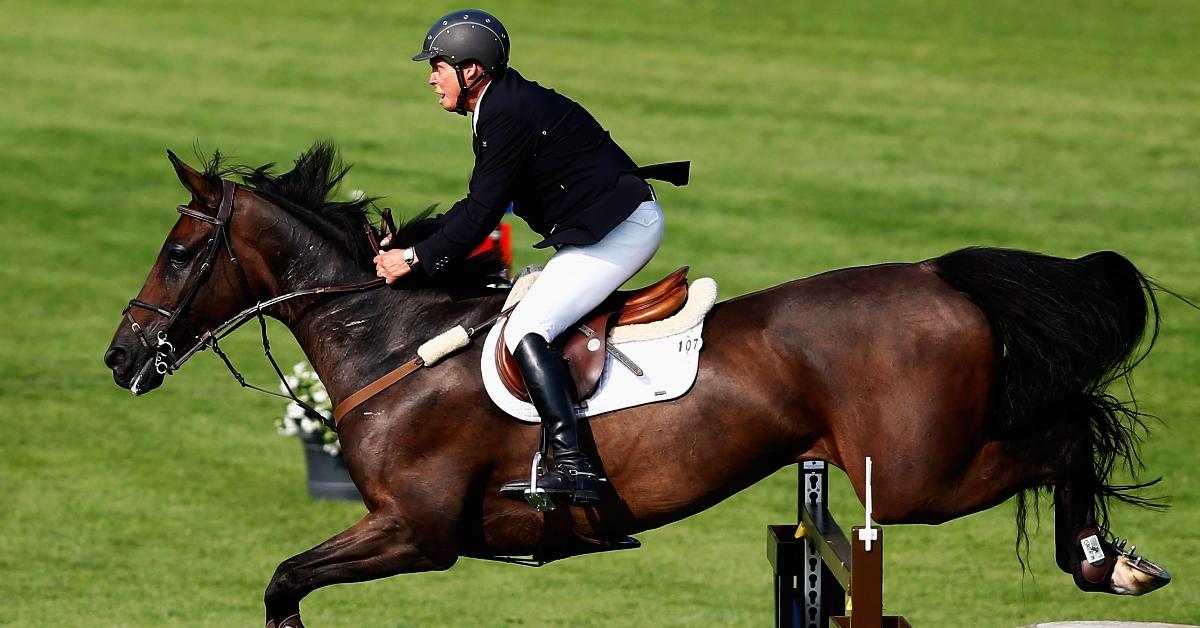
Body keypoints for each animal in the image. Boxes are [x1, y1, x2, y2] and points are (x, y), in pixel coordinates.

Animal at [103, 145, 1171, 624]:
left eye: (182, 251)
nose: (120, 357)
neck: (395, 342)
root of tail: (937, 275)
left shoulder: (416, 533)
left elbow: (285, 578)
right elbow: (287, 576)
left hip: (913, 478)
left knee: (1062, 438)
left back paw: (1104, 562)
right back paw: (1109, 559)